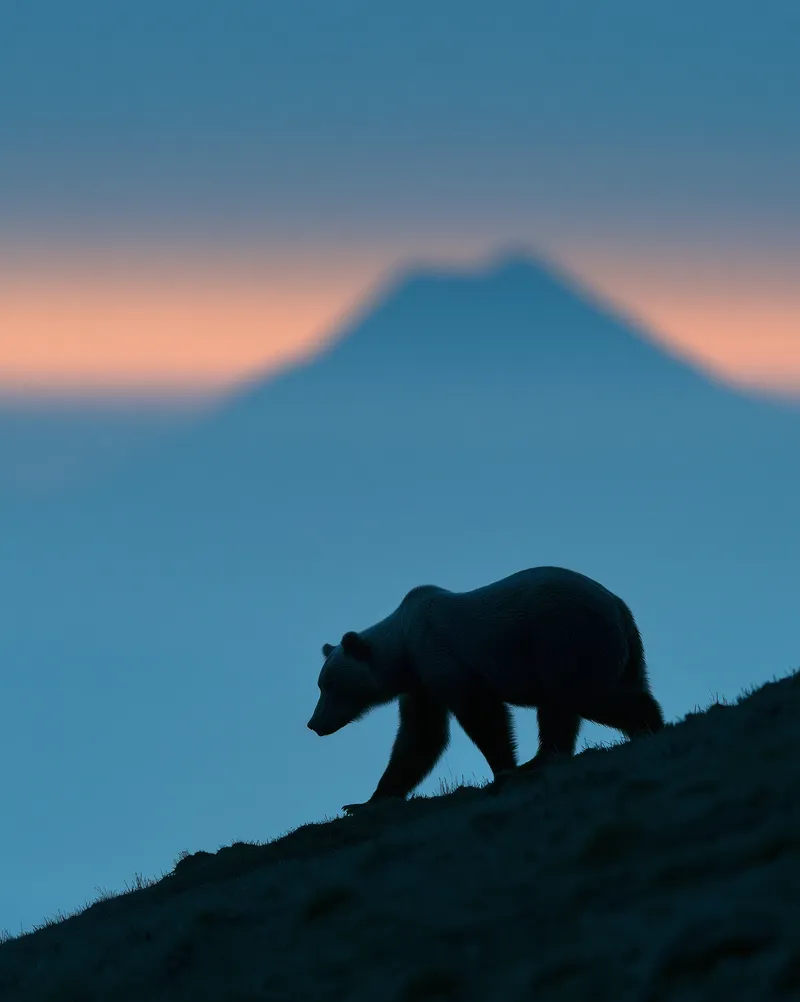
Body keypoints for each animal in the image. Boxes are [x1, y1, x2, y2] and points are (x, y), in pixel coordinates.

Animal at [307, 566, 664, 813]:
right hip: (605, 650)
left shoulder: (441, 655)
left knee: (582, 694)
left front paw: (503, 770)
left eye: (329, 685)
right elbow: (420, 737)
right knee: (562, 708)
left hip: (565, 635)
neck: (404, 648)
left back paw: (649, 723)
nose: (313, 723)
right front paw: (362, 803)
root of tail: (618, 606)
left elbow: (481, 712)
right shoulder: (422, 685)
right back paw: (545, 758)